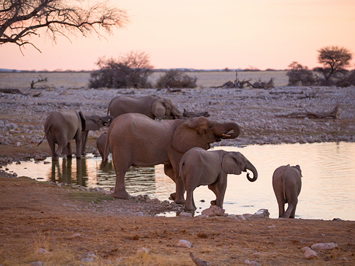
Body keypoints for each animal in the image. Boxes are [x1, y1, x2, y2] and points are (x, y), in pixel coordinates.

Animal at [103, 111, 242, 203]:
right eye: (210, 127)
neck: (187, 123)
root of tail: (112, 125)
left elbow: (169, 171)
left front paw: (173, 197)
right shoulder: (175, 148)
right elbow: (177, 170)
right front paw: (180, 202)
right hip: (122, 142)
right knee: (122, 168)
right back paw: (125, 197)